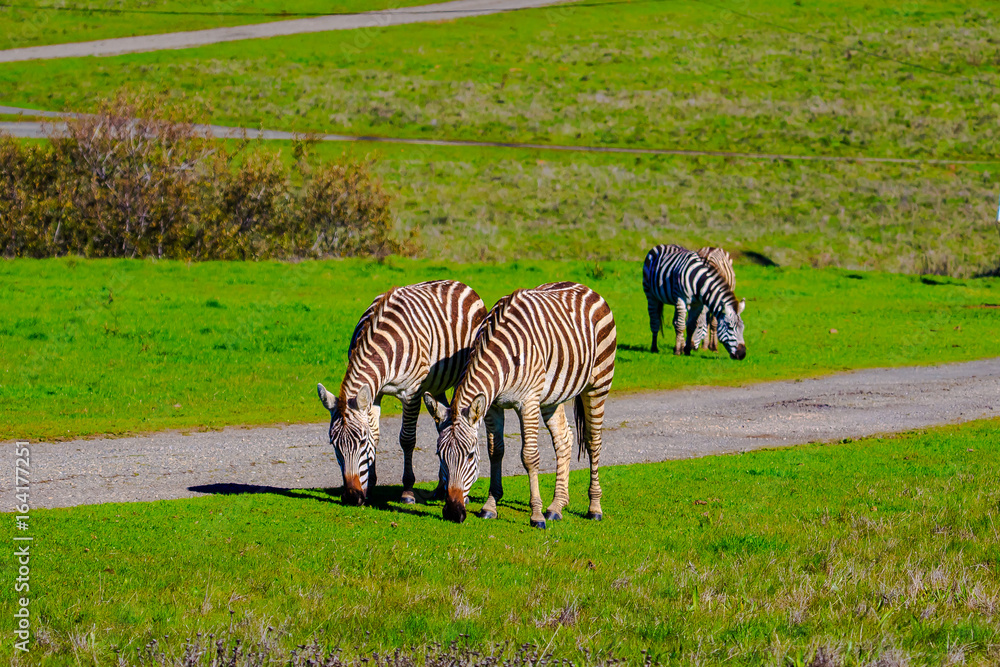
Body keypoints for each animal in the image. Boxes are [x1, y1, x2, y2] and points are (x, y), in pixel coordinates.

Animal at [316, 280, 486, 506]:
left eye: (360, 442)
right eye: (334, 444)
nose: (352, 497)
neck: (381, 348)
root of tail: (459, 283)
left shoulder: (412, 393)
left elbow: (407, 439)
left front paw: (407, 491)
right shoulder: (375, 393)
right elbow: (375, 435)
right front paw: (370, 486)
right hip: (437, 386)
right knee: (442, 423)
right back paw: (441, 489)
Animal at [423, 282, 617, 528]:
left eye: (470, 455)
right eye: (440, 455)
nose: (453, 513)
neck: (502, 358)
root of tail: (586, 287)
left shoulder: (528, 403)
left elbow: (529, 456)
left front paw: (536, 515)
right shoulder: (492, 406)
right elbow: (496, 451)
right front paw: (490, 506)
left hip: (598, 384)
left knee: (593, 442)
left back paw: (594, 508)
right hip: (552, 397)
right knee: (564, 439)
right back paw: (556, 506)